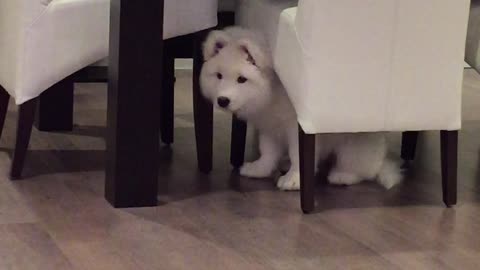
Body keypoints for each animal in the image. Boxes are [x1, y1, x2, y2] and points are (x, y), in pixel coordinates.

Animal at [199, 27, 402, 191]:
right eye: (219, 76)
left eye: (242, 79)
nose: (222, 100)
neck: (272, 90)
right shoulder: (269, 127)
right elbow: (268, 151)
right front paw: (260, 169)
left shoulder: (295, 128)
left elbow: (297, 154)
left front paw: (294, 180)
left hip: (354, 146)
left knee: (364, 169)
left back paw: (342, 175)